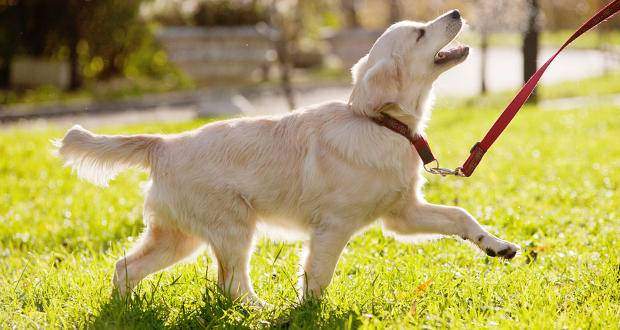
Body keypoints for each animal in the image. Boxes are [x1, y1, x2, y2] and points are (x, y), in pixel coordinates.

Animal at [57, 10, 520, 304]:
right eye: (421, 33)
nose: (457, 11)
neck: (379, 123)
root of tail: (164, 143)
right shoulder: (333, 227)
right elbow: (318, 276)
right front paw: (308, 314)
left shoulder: (401, 215)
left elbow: (460, 217)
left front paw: (495, 246)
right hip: (233, 227)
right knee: (231, 285)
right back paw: (261, 314)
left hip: (179, 236)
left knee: (125, 266)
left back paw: (123, 309)